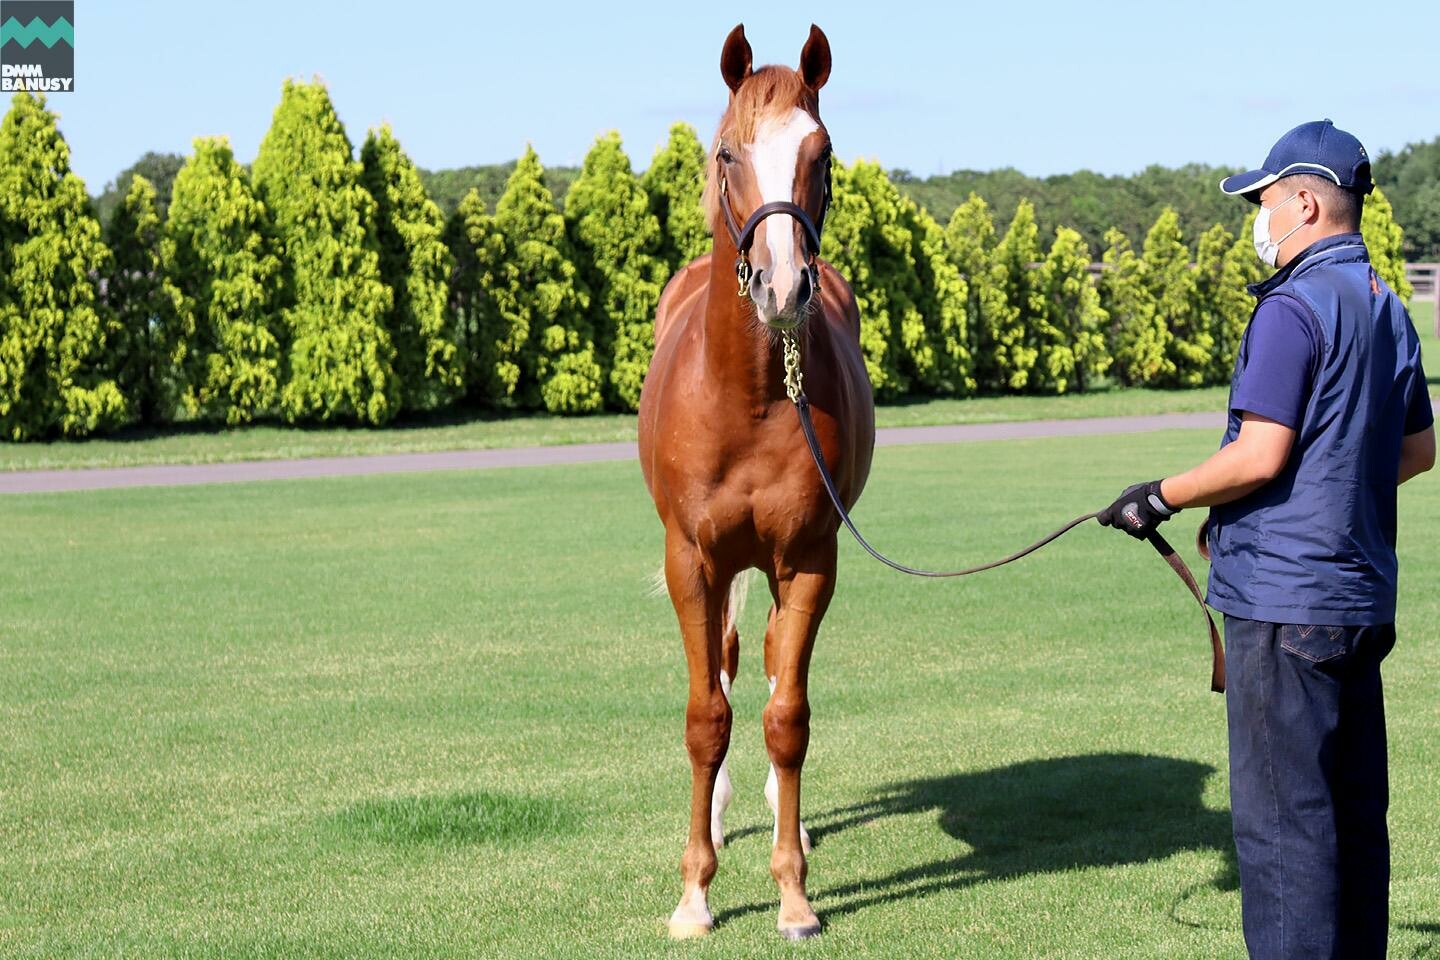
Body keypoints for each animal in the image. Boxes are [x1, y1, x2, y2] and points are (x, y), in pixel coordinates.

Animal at [642, 20, 875, 938]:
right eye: (727, 152)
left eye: (824, 151)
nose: (783, 286)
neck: (745, 397)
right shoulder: (692, 563)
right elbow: (707, 717)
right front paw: (694, 892)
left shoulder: (809, 559)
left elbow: (787, 717)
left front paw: (794, 893)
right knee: (733, 664)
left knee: (774, 664)